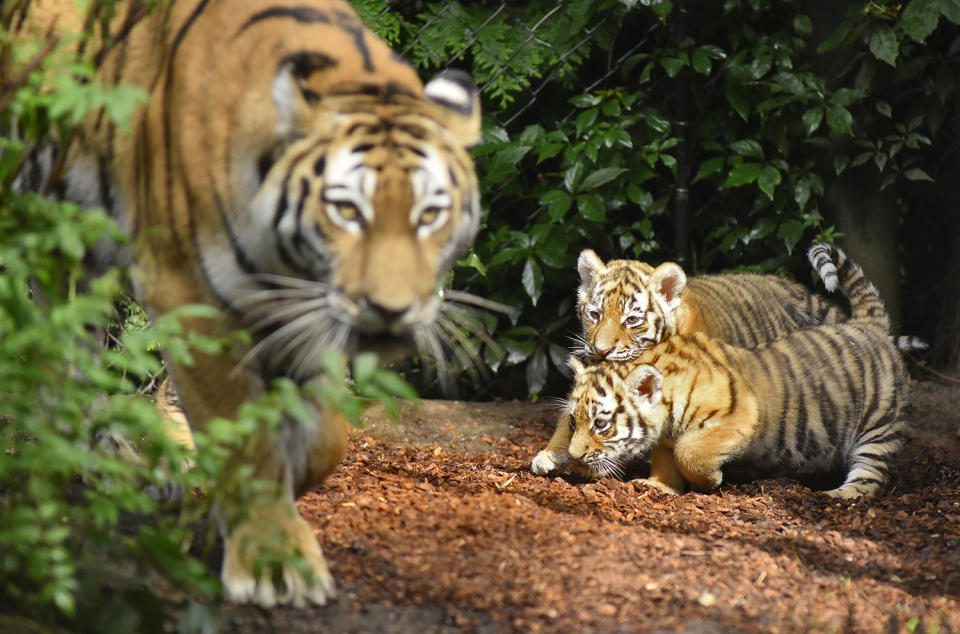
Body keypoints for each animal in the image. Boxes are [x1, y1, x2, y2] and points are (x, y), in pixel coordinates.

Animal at [21, 0, 484, 608]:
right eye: (346, 211)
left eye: (430, 214)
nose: (391, 310)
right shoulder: (187, 295)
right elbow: (241, 434)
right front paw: (272, 557)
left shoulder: (301, 314)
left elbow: (324, 436)